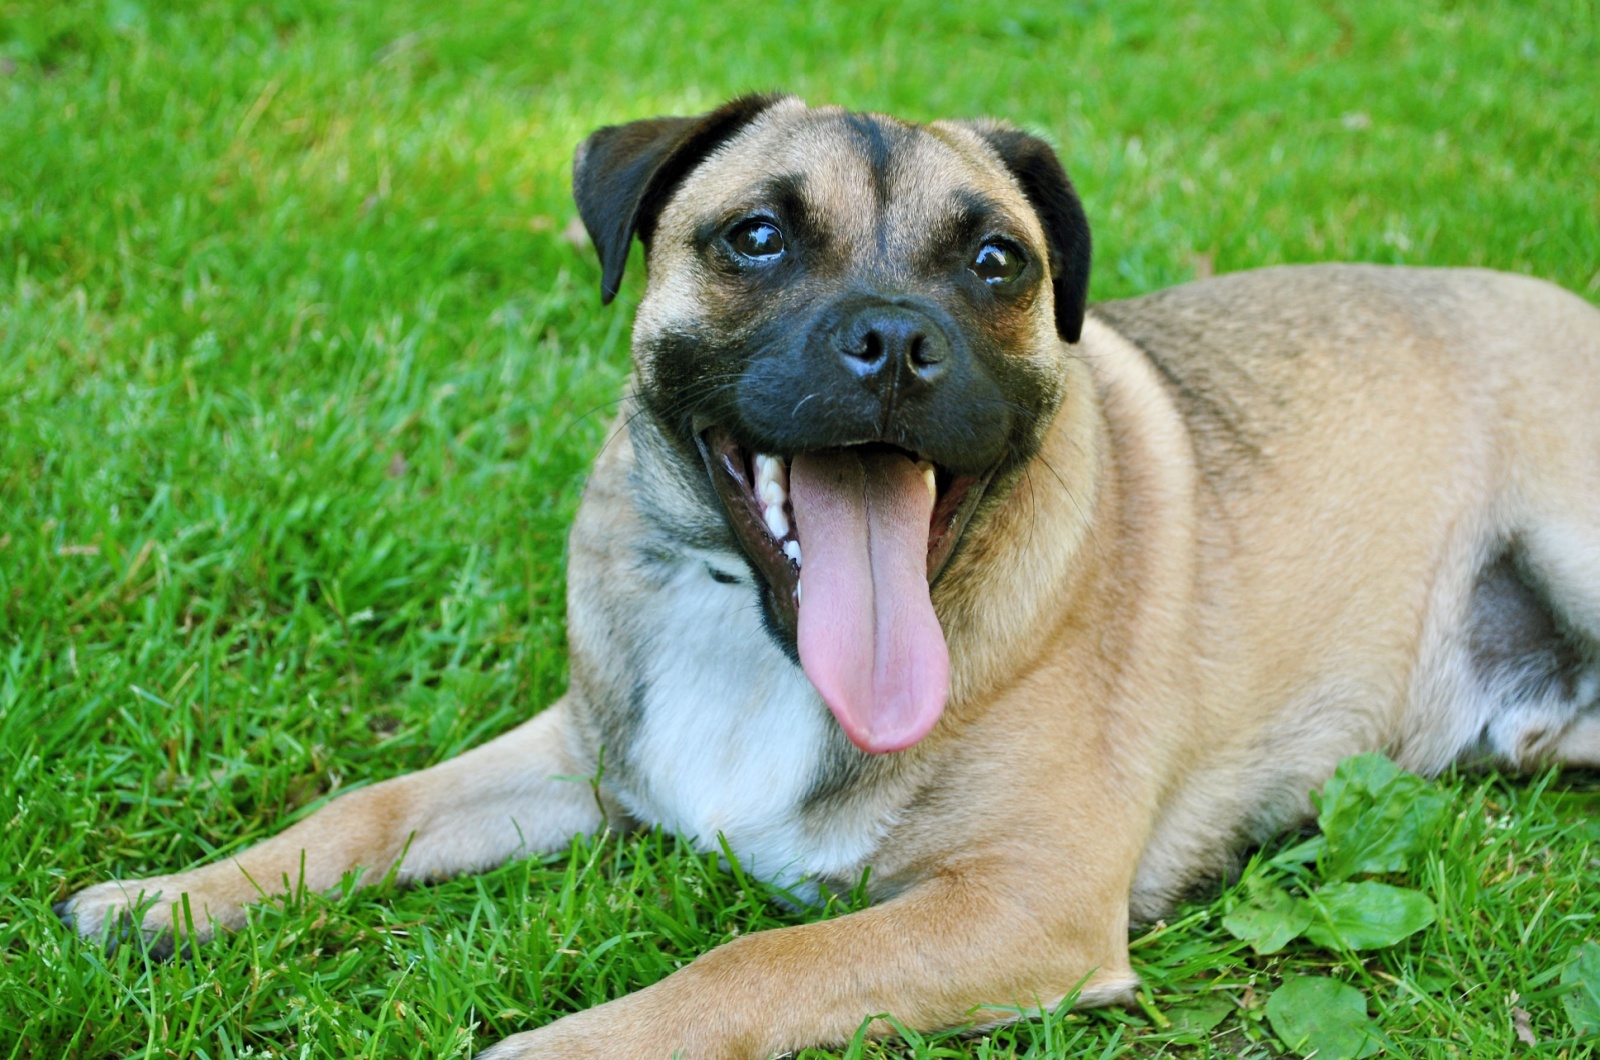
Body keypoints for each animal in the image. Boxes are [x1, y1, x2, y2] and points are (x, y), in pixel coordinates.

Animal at [56, 95, 1600, 1056]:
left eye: (998, 263)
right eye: (755, 237)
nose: (898, 340)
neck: (758, 630)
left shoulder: (1016, 906)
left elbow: (750, 962)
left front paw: (564, 1046)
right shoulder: (583, 754)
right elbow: (368, 810)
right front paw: (174, 899)